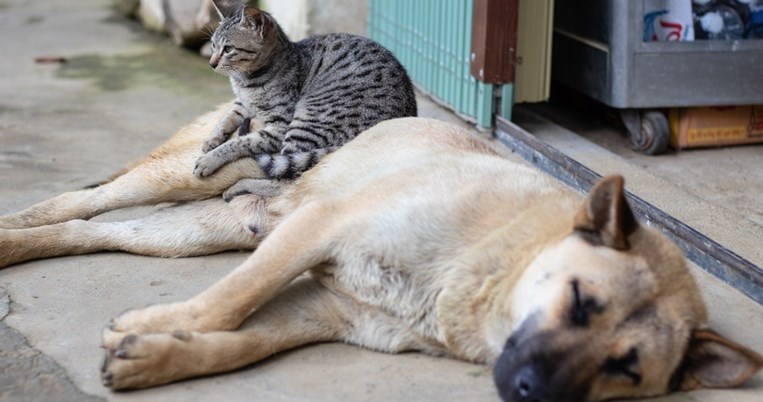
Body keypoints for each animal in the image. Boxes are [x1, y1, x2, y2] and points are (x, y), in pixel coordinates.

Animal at [0, 111, 760, 400]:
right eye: (579, 301)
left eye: (625, 369)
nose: (530, 392)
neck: (491, 266)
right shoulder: (320, 228)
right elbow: (230, 301)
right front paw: (152, 328)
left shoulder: (323, 309)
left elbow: (241, 342)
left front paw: (158, 353)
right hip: (188, 176)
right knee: (80, 201)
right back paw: (12, 231)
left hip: (208, 228)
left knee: (95, 231)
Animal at [192, 0, 418, 179]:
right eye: (213, 46)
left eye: (228, 49)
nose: (211, 63)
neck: (245, 82)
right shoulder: (241, 103)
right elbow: (227, 117)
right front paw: (211, 139)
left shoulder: (279, 126)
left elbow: (240, 143)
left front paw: (209, 159)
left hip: (306, 121)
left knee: (284, 175)